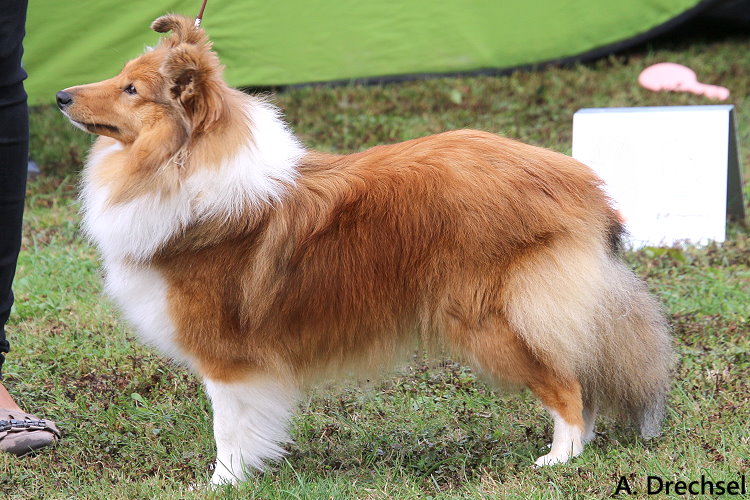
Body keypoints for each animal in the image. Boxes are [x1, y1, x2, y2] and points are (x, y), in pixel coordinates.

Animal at [55, 14, 672, 484]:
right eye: (122, 75)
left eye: (132, 90)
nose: (60, 95)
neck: (183, 167)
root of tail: (579, 181)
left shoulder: (227, 357)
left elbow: (228, 430)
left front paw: (222, 484)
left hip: (493, 319)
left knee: (569, 388)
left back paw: (558, 460)